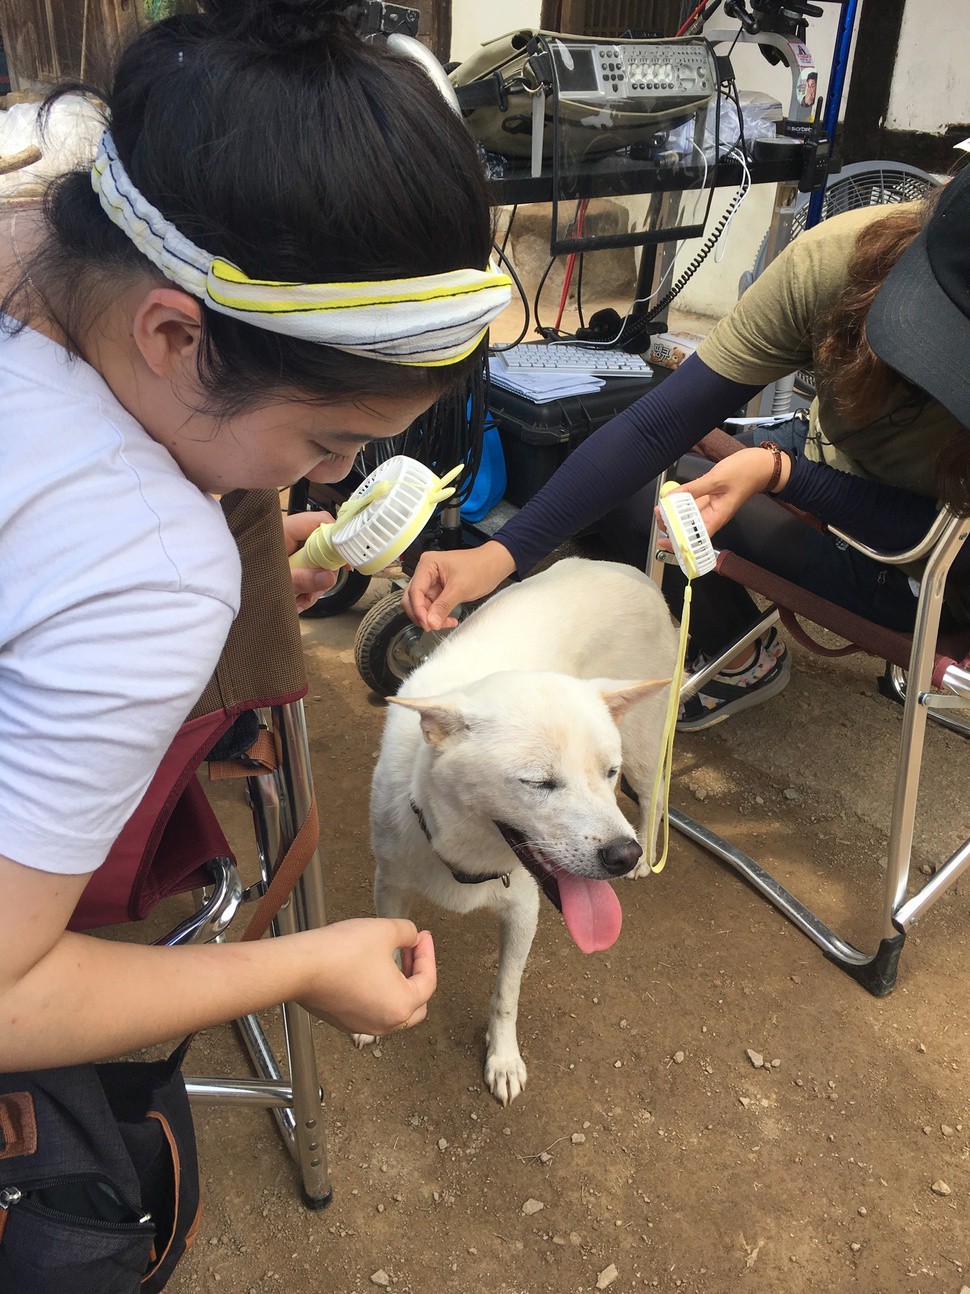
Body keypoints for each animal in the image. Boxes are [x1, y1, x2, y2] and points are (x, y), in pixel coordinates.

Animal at [362, 556, 677, 1102]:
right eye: (538, 782)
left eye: (607, 772)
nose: (624, 856)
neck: (462, 853)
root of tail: (630, 570)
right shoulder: (391, 883)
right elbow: (393, 944)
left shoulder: (524, 910)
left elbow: (505, 994)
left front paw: (503, 1059)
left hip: (643, 749)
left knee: (654, 794)